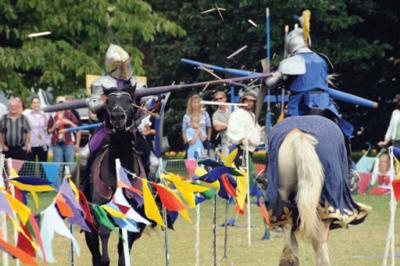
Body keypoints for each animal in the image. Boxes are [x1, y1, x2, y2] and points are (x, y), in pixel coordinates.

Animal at [80, 89, 151, 266]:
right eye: (108, 102)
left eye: (129, 101)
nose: (118, 116)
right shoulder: (101, 212)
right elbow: (104, 237)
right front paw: (105, 260)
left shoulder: (132, 219)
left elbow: (124, 250)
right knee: (94, 250)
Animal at [264, 116, 370, 266]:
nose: (356, 178)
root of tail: (299, 135)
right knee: (319, 240)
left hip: (284, 196)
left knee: (287, 227)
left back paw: (289, 258)